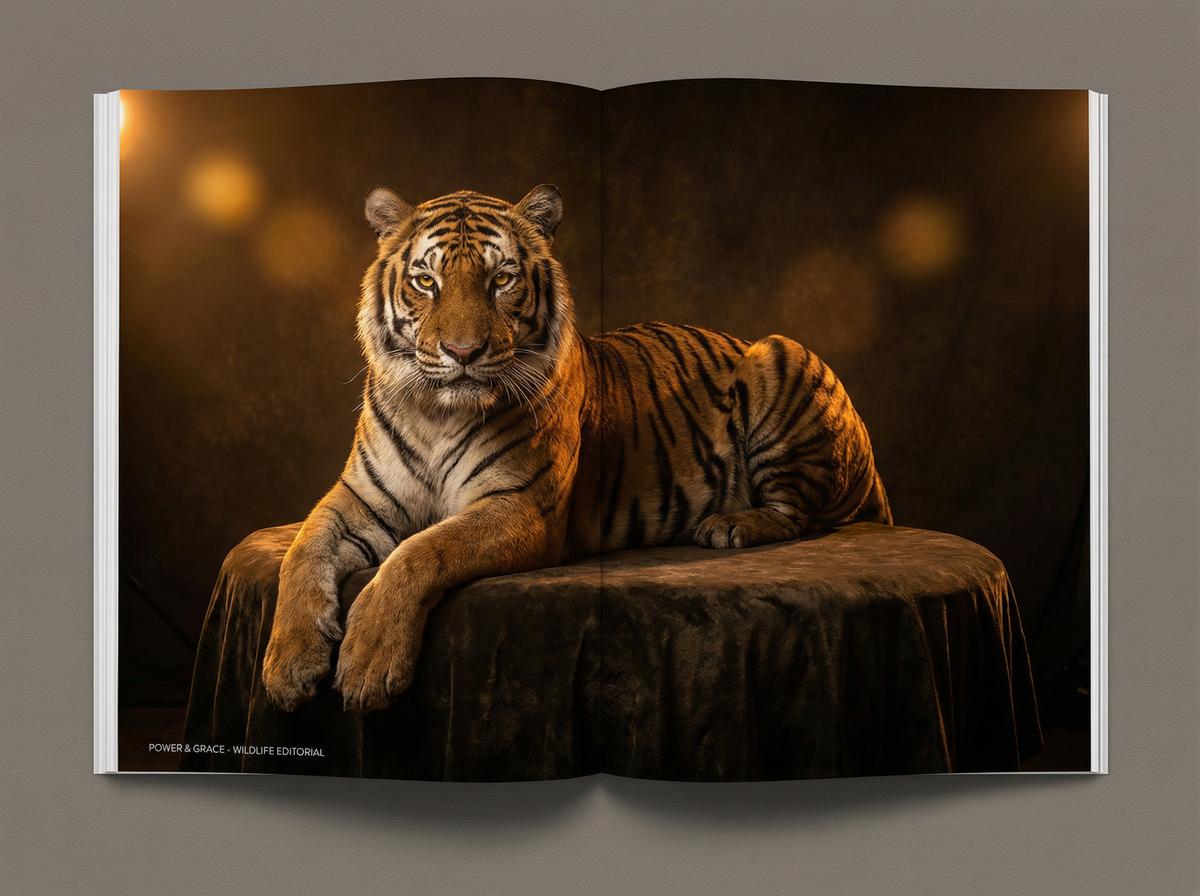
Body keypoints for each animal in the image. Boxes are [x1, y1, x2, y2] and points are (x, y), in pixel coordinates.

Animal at [262, 184, 892, 712]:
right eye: (426, 282)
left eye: (501, 280)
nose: (462, 353)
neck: (437, 413)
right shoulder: (358, 500)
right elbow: (301, 552)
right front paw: (287, 666)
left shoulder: (521, 507)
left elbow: (421, 552)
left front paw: (367, 663)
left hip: (779, 352)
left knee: (798, 515)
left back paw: (730, 525)